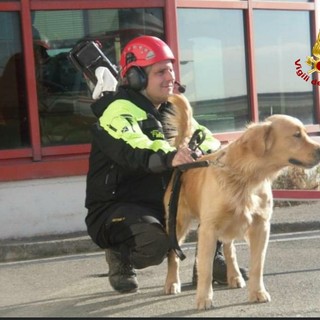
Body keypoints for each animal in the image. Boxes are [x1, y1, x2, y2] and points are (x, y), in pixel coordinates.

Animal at [162, 93, 320, 310]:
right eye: (296, 135)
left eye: (304, 132)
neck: (246, 176)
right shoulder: (208, 228)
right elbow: (205, 268)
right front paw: (204, 298)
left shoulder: (261, 225)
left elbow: (257, 265)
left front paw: (257, 292)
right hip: (178, 222)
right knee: (173, 254)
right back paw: (172, 283)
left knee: (230, 248)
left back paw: (234, 276)